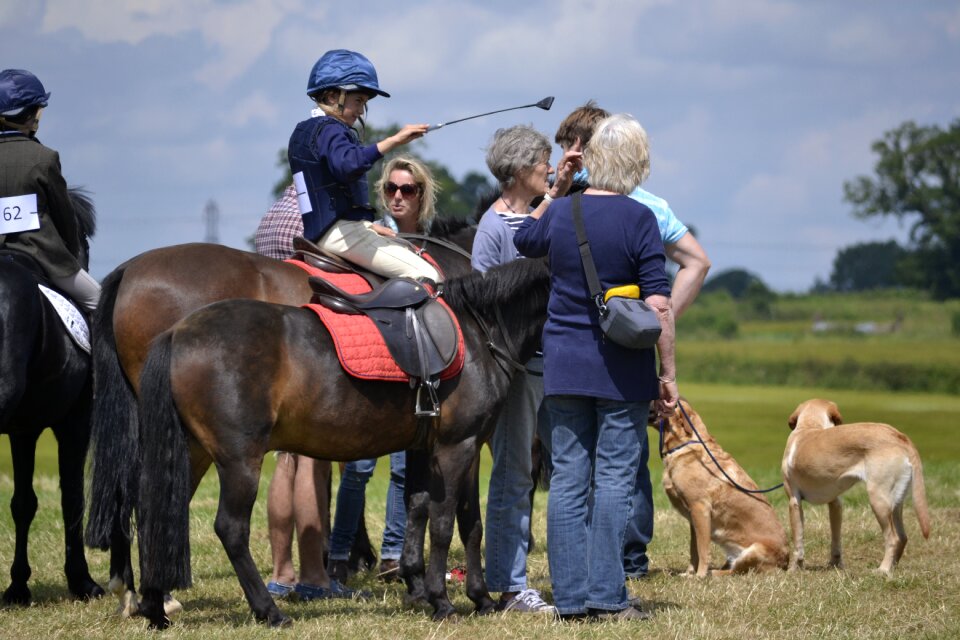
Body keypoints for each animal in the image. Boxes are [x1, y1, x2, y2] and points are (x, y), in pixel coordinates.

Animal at [660, 400, 788, 576]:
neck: (686, 444)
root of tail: (786, 562)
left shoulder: (700, 509)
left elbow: (703, 550)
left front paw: (700, 576)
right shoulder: (693, 517)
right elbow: (693, 550)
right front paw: (689, 574)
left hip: (754, 550)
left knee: (737, 571)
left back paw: (713, 573)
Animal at [780, 400, 928, 576]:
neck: (809, 427)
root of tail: (900, 437)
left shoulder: (794, 502)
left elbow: (798, 542)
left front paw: (794, 569)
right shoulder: (836, 503)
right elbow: (836, 539)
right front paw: (834, 564)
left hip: (878, 500)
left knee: (893, 538)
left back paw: (883, 570)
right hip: (896, 503)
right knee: (903, 537)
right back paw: (893, 568)